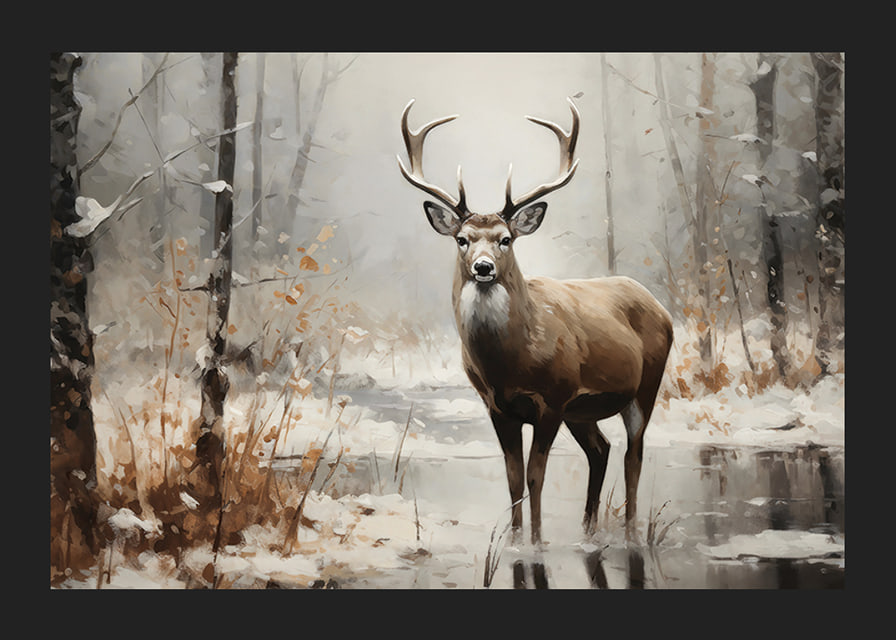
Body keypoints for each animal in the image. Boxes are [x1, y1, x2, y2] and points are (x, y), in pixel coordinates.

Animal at [397, 97, 673, 546]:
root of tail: (658, 305)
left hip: (644, 385)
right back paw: (587, 530)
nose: (484, 268)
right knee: (601, 450)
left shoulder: (553, 398)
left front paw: (537, 542)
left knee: (633, 454)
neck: (511, 362)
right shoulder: (497, 406)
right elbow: (512, 477)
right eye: (462, 239)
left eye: (506, 239)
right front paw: (514, 541)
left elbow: (535, 476)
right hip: (583, 410)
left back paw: (630, 532)